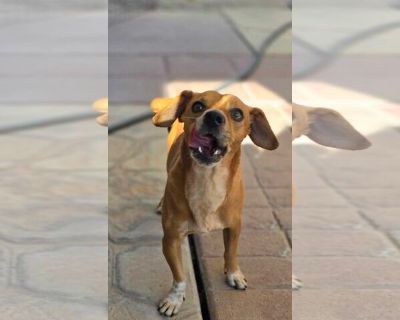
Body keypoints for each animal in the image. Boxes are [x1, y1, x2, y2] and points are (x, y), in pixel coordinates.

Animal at [152, 90, 280, 318]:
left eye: (237, 114)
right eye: (197, 106)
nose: (213, 117)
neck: (208, 179)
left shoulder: (234, 226)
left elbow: (231, 252)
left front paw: (233, 274)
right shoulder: (171, 239)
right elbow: (179, 275)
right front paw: (174, 299)